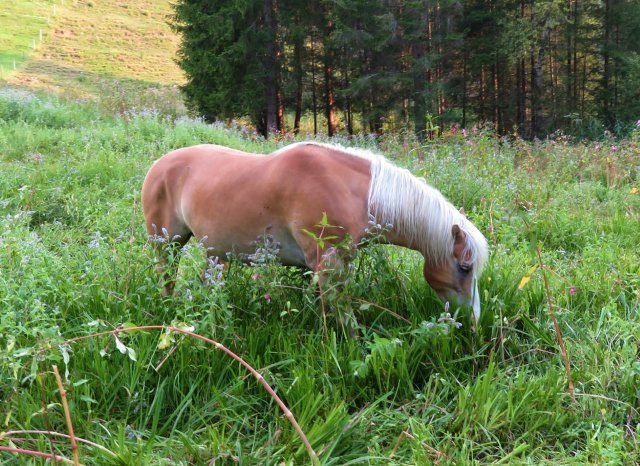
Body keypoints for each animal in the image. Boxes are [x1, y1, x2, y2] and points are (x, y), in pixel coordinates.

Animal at [141, 142, 490, 322]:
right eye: (464, 267)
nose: (474, 321)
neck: (353, 191)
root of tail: (158, 165)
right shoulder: (327, 264)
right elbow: (340, 315)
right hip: (167, 244)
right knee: (166, 279)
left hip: (215, 255)